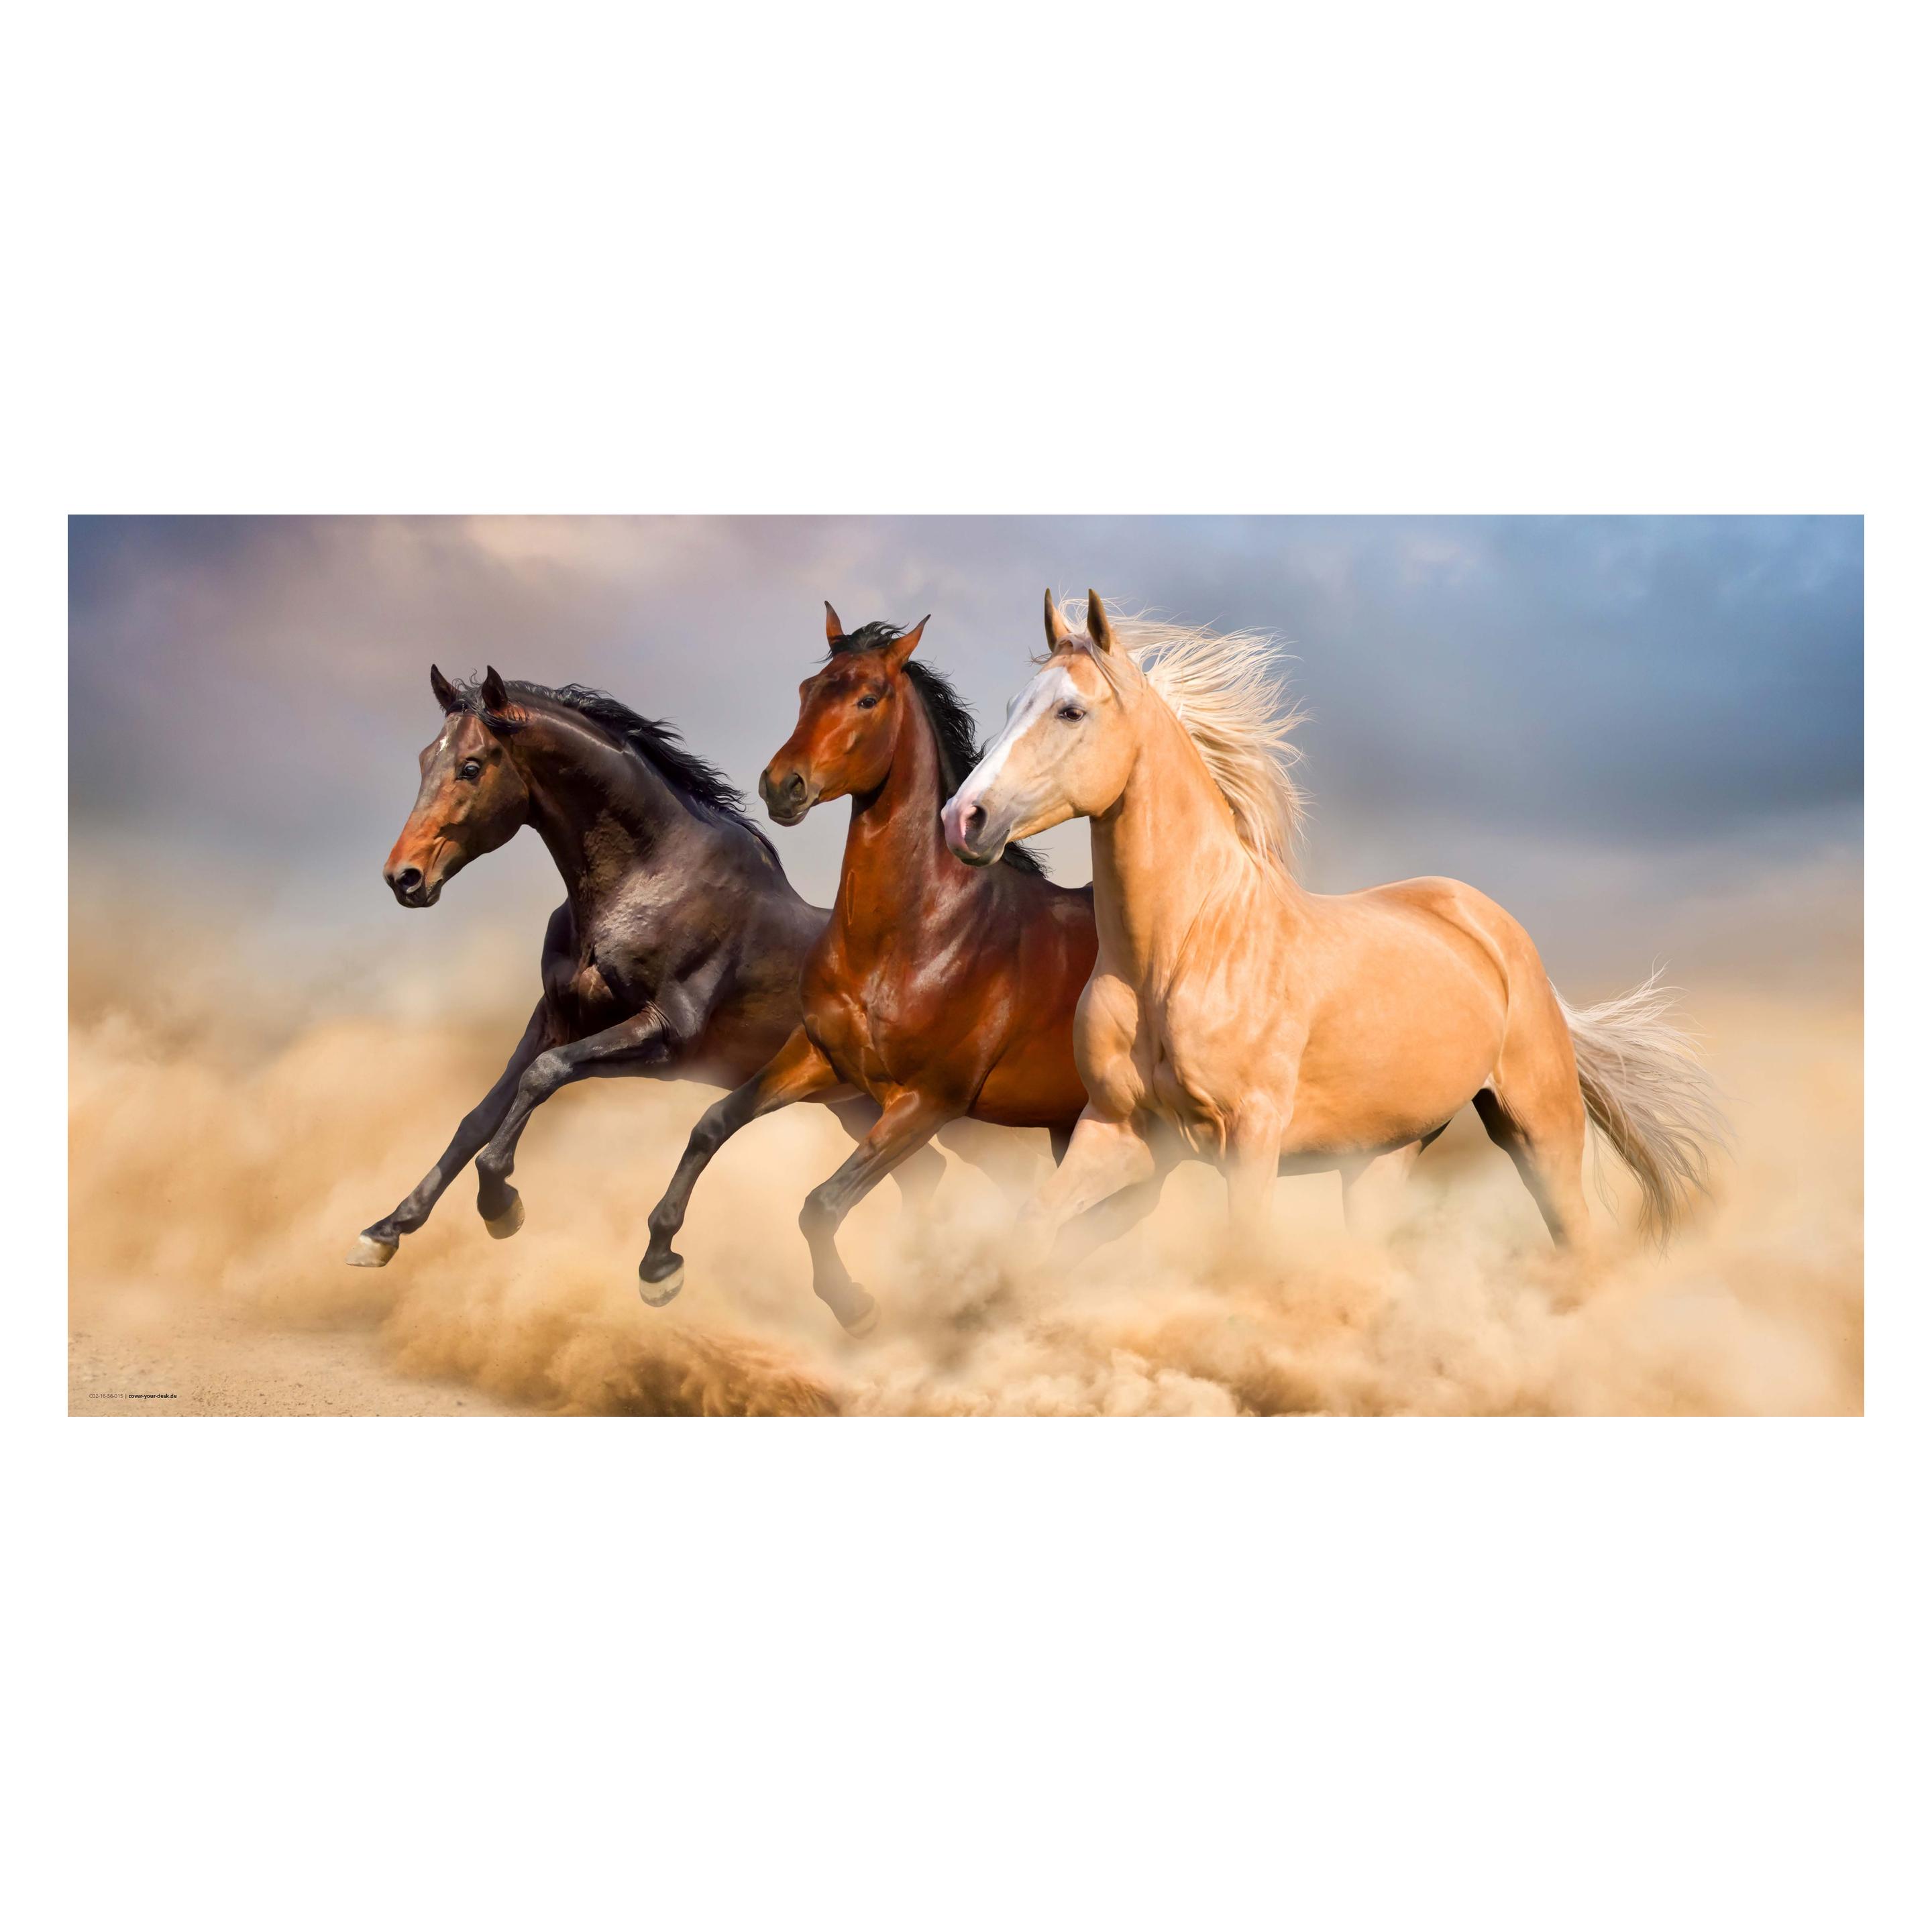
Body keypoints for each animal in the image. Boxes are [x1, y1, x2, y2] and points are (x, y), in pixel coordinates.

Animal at [348, 664, 977, 1272]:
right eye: (425, 759)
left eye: (472, 767)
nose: (404, 877)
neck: (646, 882)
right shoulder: (556, 1019)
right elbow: (479, 1116)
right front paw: (385, 1231)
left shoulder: (665, 1035)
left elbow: (544, 1076)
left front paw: (500, 1204)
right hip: (859, 1106)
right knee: (924, 1176)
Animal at [637, 606, 1099, 1334]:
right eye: (807, 689)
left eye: (868, 697)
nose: (783, 785)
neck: (914, 938)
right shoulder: (822, 1058)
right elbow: (713, 1123)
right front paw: (659, 1266)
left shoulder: (926, 1104)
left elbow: (821, 1204)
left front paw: (855, 1305)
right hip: (1065, 1126)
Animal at [939, 592, 1727, 1257]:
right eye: (1013, 704)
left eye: (1070, 712)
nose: (963, 818)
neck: (1181, 952)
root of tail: (1495, 929)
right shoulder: (1118, 1133)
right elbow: (1035, 1227)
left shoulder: (1250, 1139)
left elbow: (1243, 1257)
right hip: (1381, 1159)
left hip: (1540, 1130)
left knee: (1578, 1243)